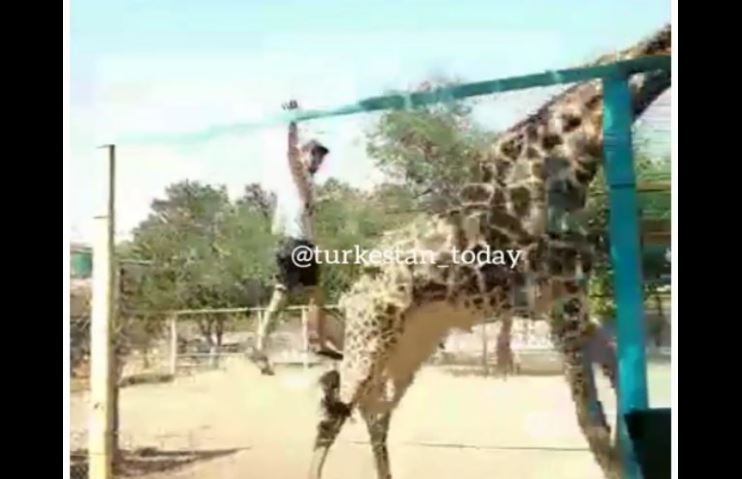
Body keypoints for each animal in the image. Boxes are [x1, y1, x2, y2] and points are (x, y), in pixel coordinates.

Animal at [308, 24, 676, 479]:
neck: (564, 170)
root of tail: (351, 290)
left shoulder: (574, 304)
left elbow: (615, 383)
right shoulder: (561, 305)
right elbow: (591, 425)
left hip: (411, 344)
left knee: (375, 411)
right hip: (371, 336)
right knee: (336, 411)